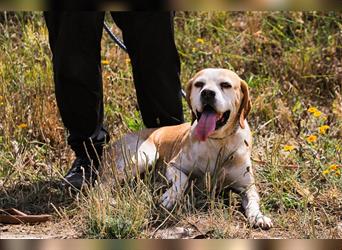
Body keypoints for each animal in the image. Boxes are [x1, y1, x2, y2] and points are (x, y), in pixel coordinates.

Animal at [107, 68, 272, 229]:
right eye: (199, 84)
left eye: (226, 85)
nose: (207, 93)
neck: (218, 143)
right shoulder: (173, 165)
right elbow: (183, 179)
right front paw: (170, 197)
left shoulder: (247, 185)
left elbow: (253, 200)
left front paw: (258, 217)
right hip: (144, 157)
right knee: (103, 185)